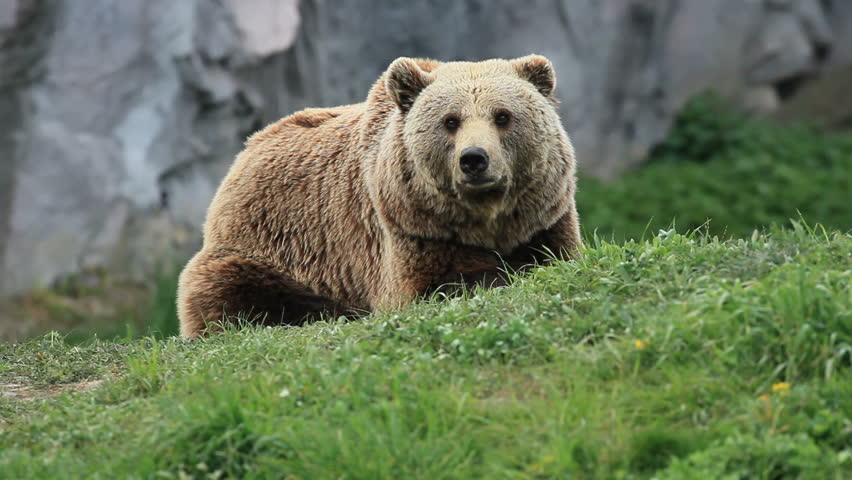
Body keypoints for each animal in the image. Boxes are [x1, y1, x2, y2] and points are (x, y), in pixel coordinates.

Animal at [177, 55, 583, 338]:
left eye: (502, 116)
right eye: (450, 121)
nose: (474, 159)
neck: (487, 220)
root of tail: (246, 151)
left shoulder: (544, 216)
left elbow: (556, 254)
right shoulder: (413, 229)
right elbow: (432, 285)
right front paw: (489, 276)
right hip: (265, 249)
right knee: (224, 290)